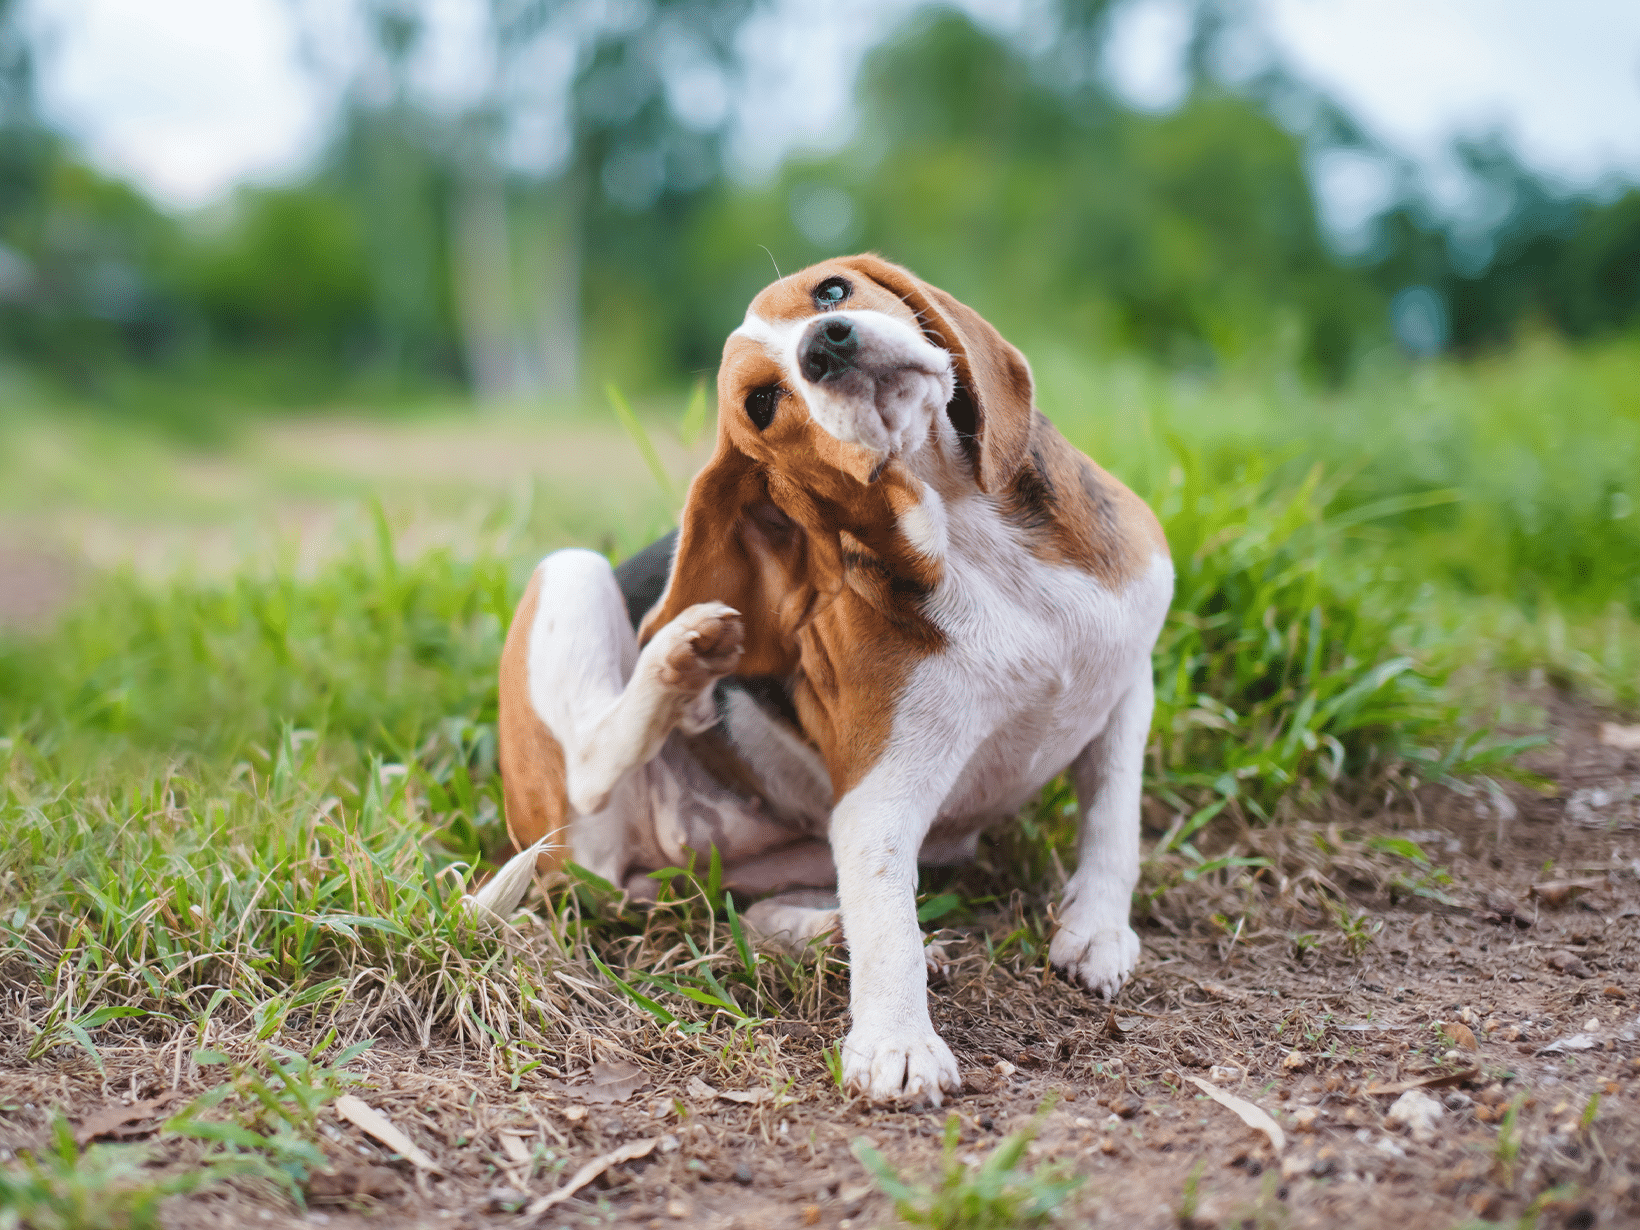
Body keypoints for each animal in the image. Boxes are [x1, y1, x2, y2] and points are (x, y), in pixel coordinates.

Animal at [478, 255, 1174, 1102]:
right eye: (762, 403)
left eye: (832, 291)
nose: (826, 345)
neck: (968, 534)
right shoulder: (877, 797)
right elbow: (888, 921)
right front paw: (897, 1042)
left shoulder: (1126, 681)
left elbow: (1114, 818)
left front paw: (1098, 928)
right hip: (572, 585)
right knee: (588, 763)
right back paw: (680, 659)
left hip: (789, 856)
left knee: (751, 914)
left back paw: (817, 925)